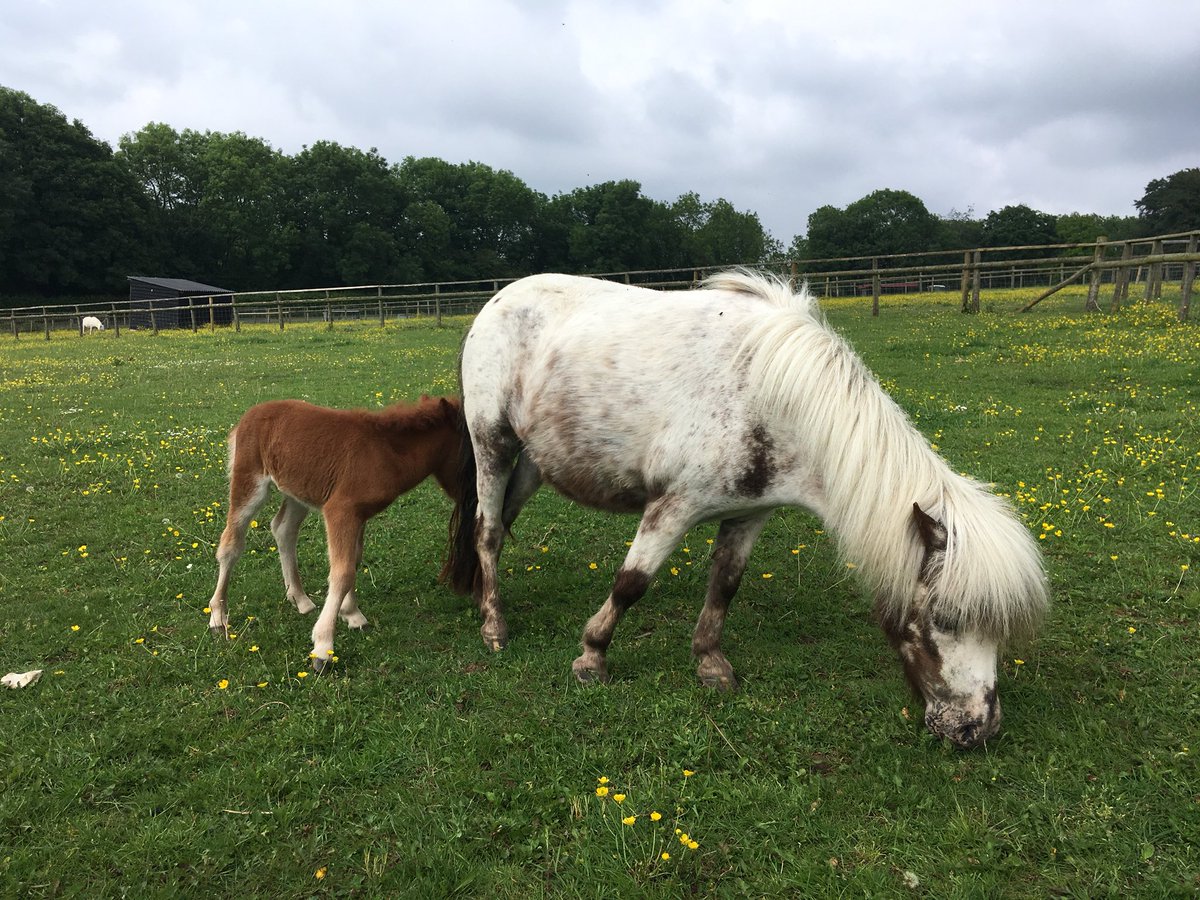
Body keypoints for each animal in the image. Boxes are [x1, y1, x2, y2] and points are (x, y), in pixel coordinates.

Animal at [207, 394, 463, 670]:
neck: (386, 452)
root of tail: (248, 416)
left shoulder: (359, 515)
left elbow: (354, 561)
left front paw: (352, 614)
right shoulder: (340, 510)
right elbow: (342, 572)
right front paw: (323, 648)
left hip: (298, 490)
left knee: (283, 529)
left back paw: (300, 599)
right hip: (249, 481)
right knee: (231, 544)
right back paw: (218, 617)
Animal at [444, 271, 1048, 748]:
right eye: (946, 618)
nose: (977, 728)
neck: (774, 399)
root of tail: (497, 300)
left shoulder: (750, 513)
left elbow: (725, 585)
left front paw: (710, 663)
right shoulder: (673, 506)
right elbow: (632, 582)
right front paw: (592, 657)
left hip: (533, 462)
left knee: (494, 526)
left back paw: (481, 598)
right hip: (493, 444)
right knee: (489, 531)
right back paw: (494, 626)